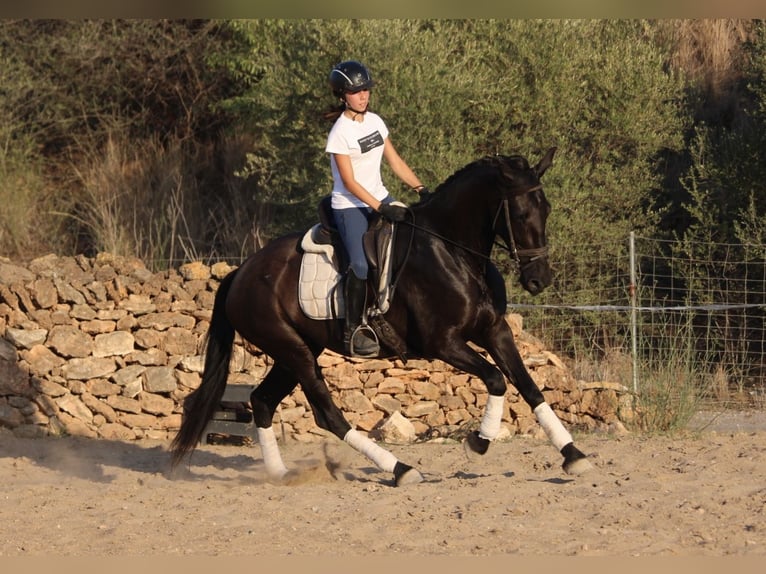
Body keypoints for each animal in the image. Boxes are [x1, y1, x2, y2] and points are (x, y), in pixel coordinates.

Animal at [172, 147, 592, 486]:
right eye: (519, 212)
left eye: (546, 209)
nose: (539, 279)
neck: (452, 251)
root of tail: (241, 272)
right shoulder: (443, 343)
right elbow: (496, 379)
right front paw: (478, 441)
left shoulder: (495, 330)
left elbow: (528, 385)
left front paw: (573, 456)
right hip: (294, 352)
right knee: (328, 416)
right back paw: (401, 469)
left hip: (294, 352)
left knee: (262, 401)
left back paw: (280, 474)